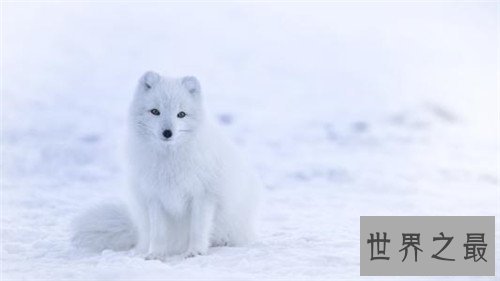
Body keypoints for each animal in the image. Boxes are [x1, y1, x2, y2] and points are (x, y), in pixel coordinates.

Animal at [73, 71, 266, 260]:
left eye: (181, 114)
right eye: (155, 111)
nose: (167, 132)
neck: (169, 161)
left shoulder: (203, 195)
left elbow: (198, 229)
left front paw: (195, 252)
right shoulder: (155, 197)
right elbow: (158, 233)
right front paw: (155, 255)